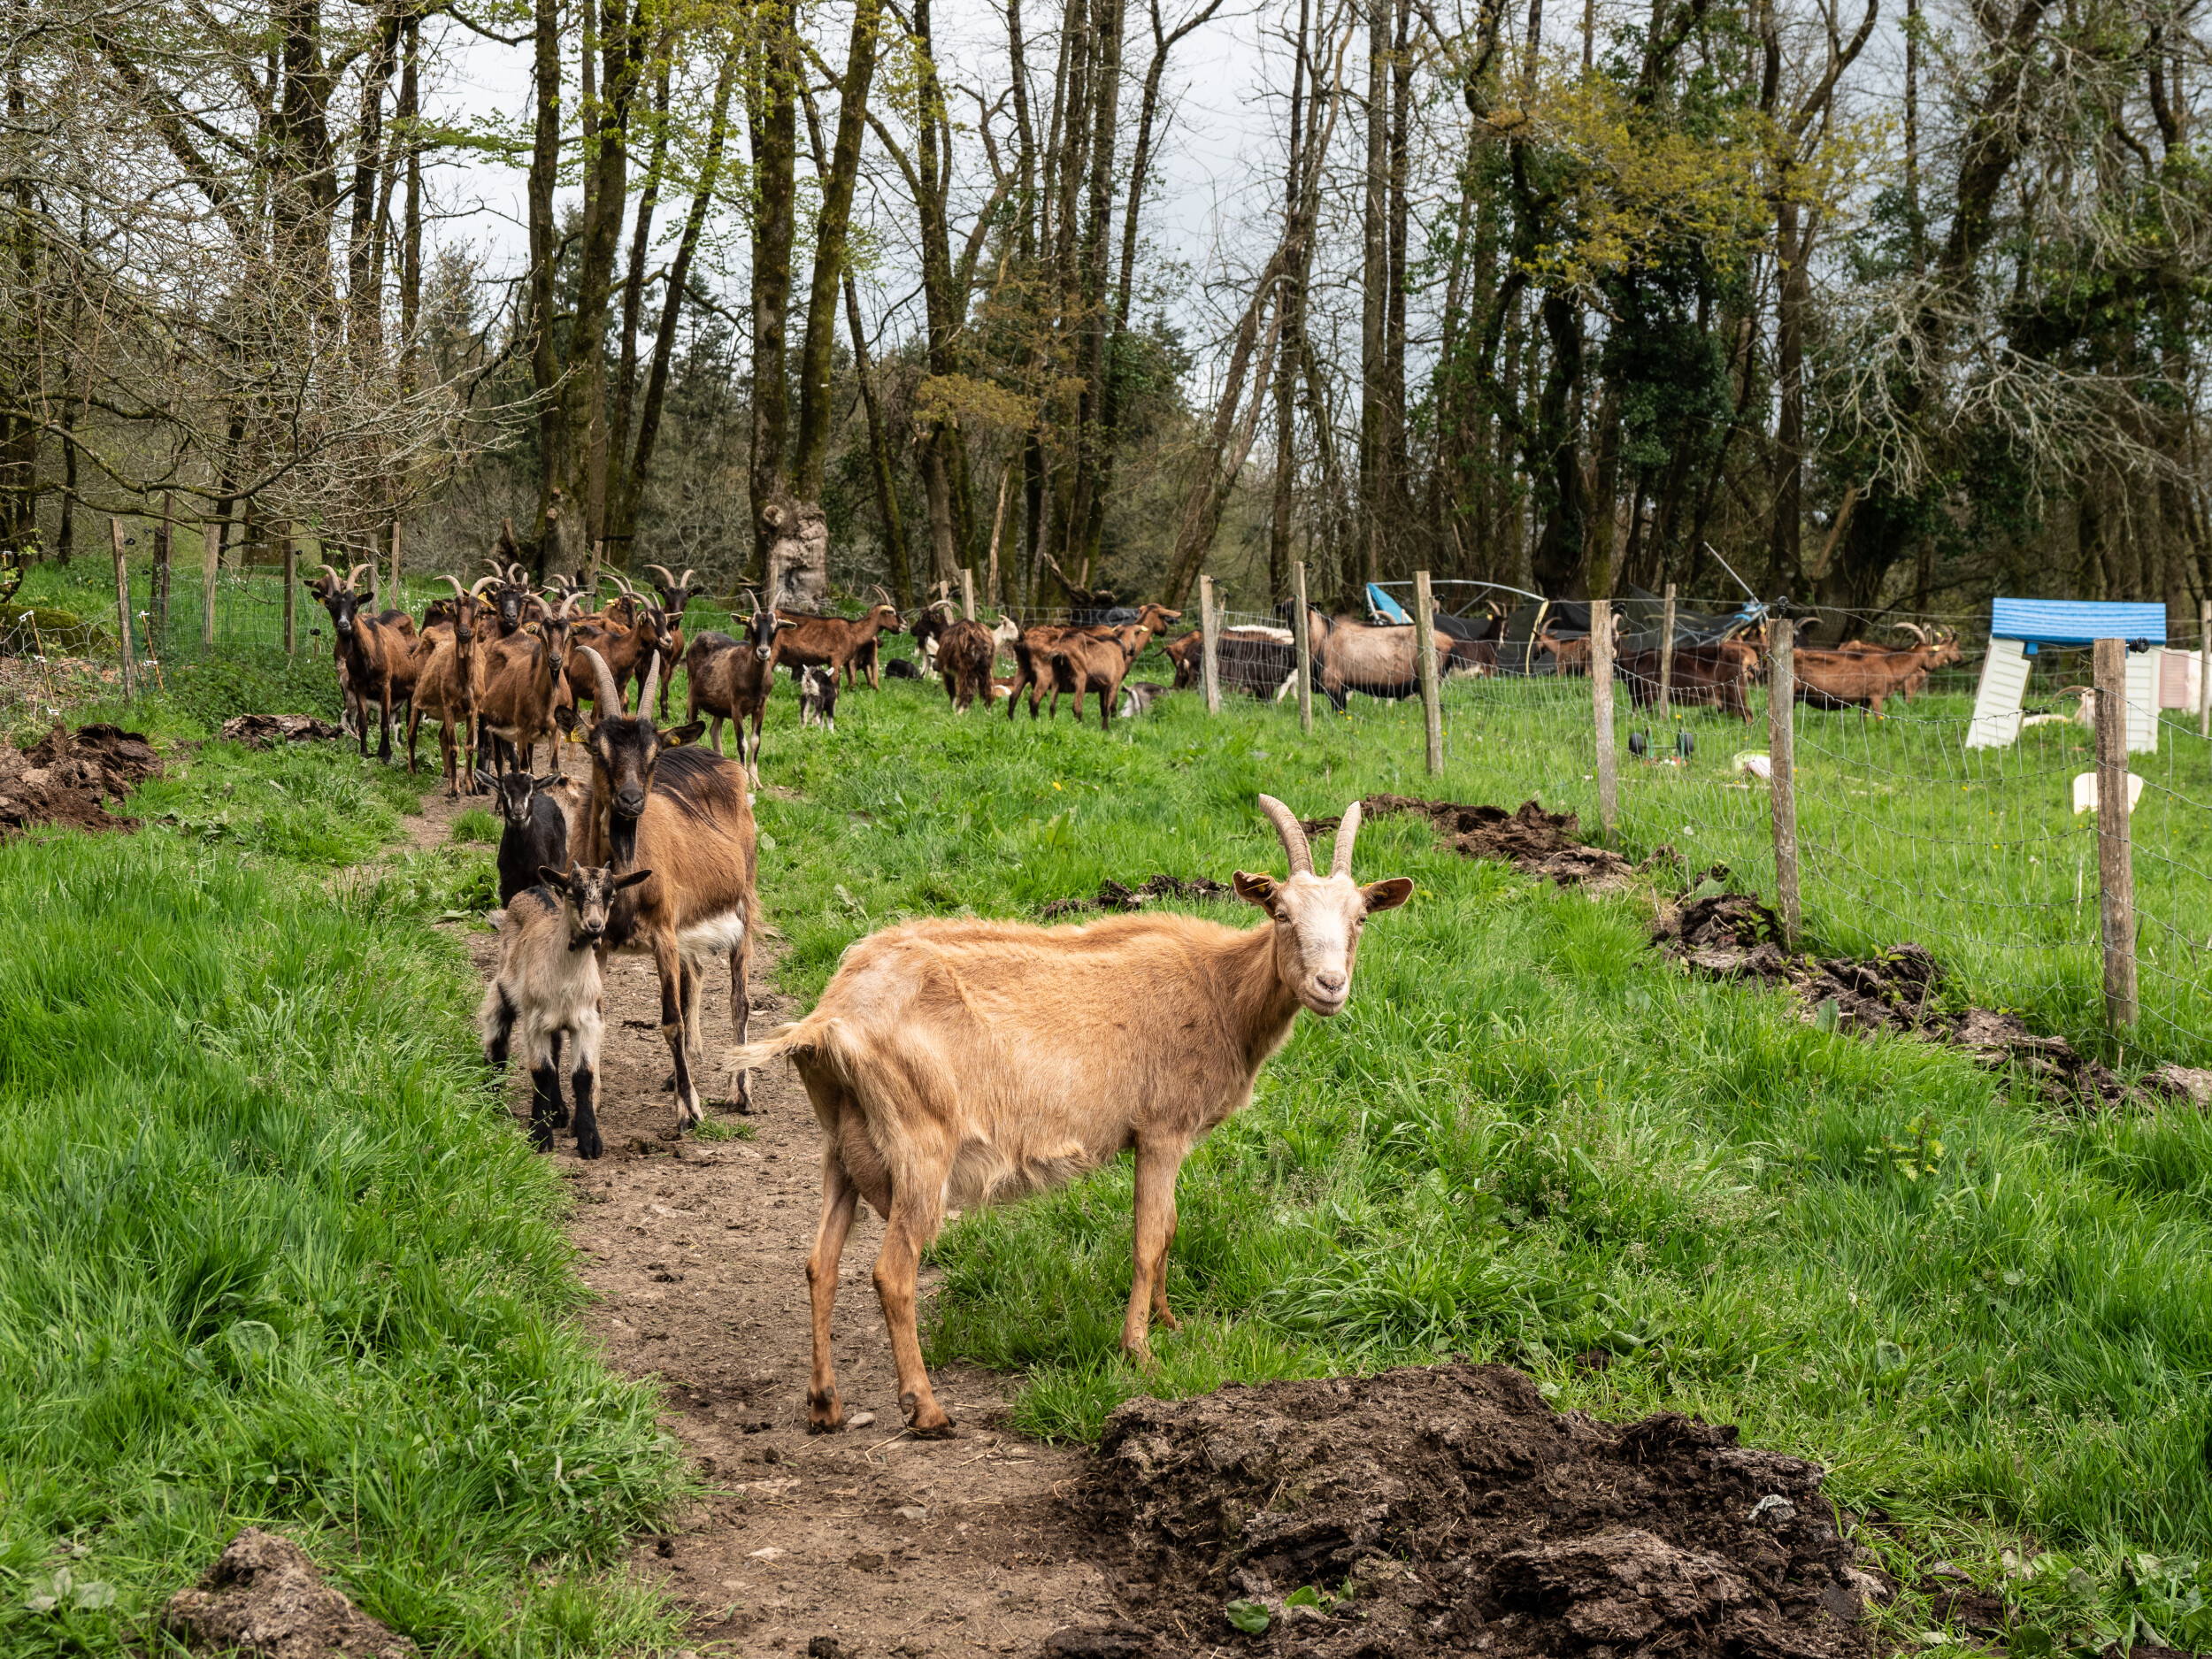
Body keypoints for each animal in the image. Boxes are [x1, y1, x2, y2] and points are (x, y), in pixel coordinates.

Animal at [571, 641, 761, 1141]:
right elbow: (593, 1015)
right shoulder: (597, 942)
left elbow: (671, 1021)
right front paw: (590, 1105)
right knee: (696, 976)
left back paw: (740, 1092)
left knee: (739, 1000)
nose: (631, 800)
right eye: (597, 750)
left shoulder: (663, 934)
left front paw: (689, 1110)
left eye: (653, 754)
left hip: (744, 902)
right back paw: (680, 1072)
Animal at [726, 801, 1416, 1433]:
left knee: (820, 1264)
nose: (1330, 985)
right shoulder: (1161, 1129)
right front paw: (1140, 1352)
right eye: (1281, 913)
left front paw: (1170, 1322)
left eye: (1359, 918)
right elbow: (1148, 1237)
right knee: (892, 1272)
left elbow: (1169, 1229)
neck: (1219, 989)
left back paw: (824, 1404)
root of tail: (830, 1018)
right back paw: (926, 1408)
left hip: (841, 1142)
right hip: (921, 1144)